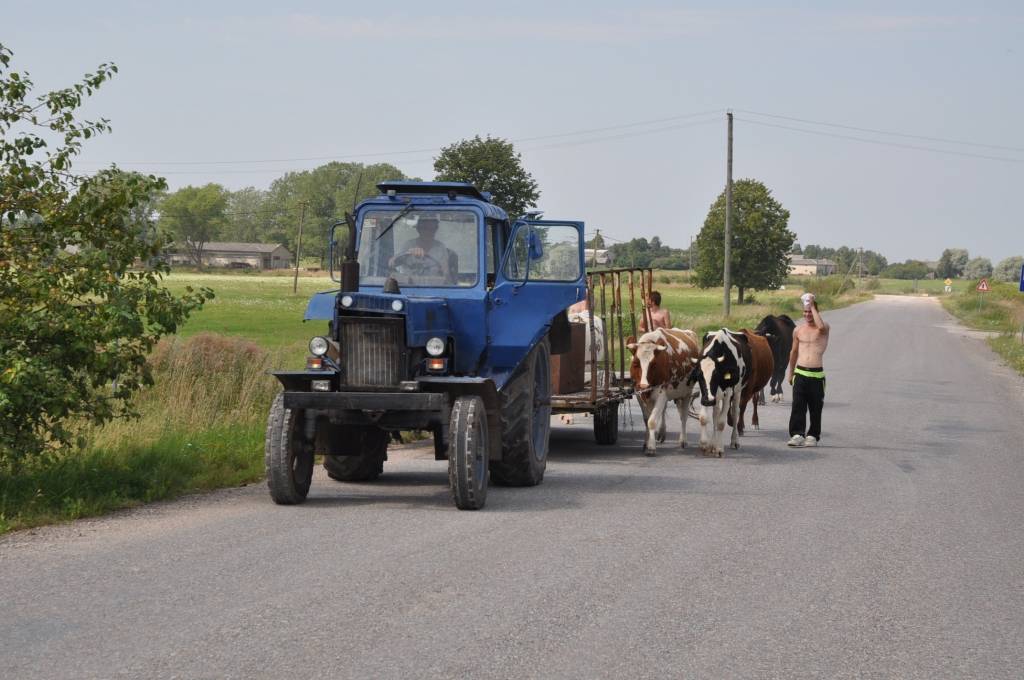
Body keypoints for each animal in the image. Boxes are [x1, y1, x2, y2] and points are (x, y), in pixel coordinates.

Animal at [622, 327, 704, 456]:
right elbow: (646, 419)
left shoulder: (661, 395)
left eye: (653, 364)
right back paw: (662, 433)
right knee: (665, 410)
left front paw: (651, 447)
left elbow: (651, 421)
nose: (644, 385)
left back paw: (683, 441)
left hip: (687, 393)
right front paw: (646, 443)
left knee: (683, 416)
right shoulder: (640, 394)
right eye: (635, 363)